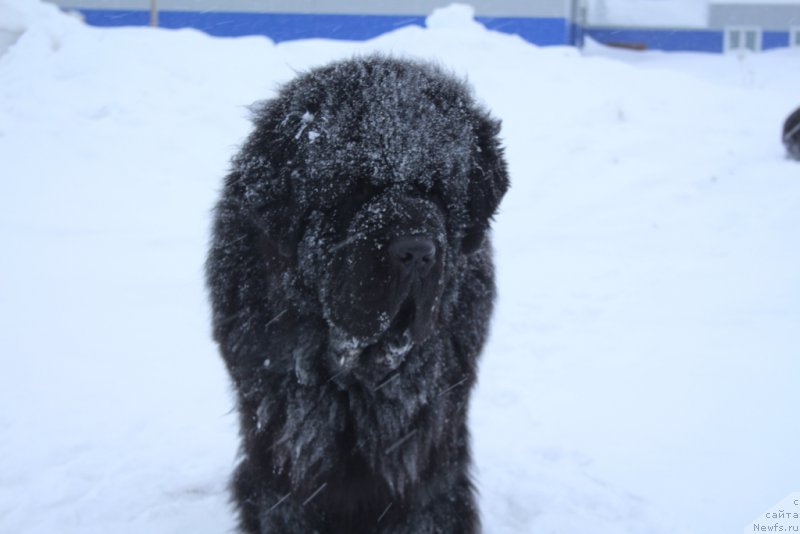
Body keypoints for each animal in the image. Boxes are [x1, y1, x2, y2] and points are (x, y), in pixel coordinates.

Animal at [206, 55, 506, 534]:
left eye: (436, 190)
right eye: (355, 189)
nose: (417, 251)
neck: (355, 373)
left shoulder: (425, 462)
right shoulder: (284, 458)